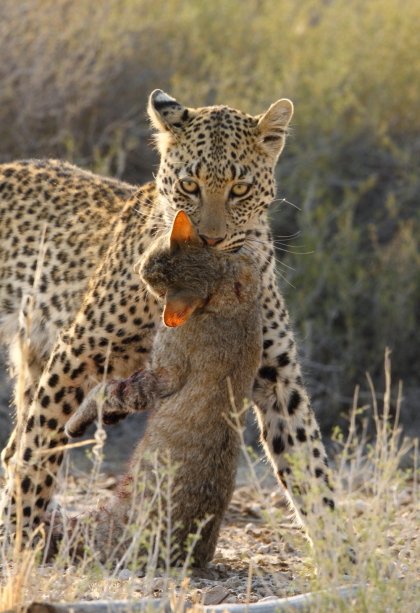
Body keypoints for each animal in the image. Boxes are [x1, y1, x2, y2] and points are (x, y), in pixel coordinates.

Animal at [0, 86, 334, 544]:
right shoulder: (76, 351)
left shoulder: (277, 376)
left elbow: (312, 468)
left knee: (10, 447)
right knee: (22, 444)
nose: (210, 239)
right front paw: (21, 530)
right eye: (189, 186)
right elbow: (39, 449)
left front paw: (345, 552)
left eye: (240, 189)